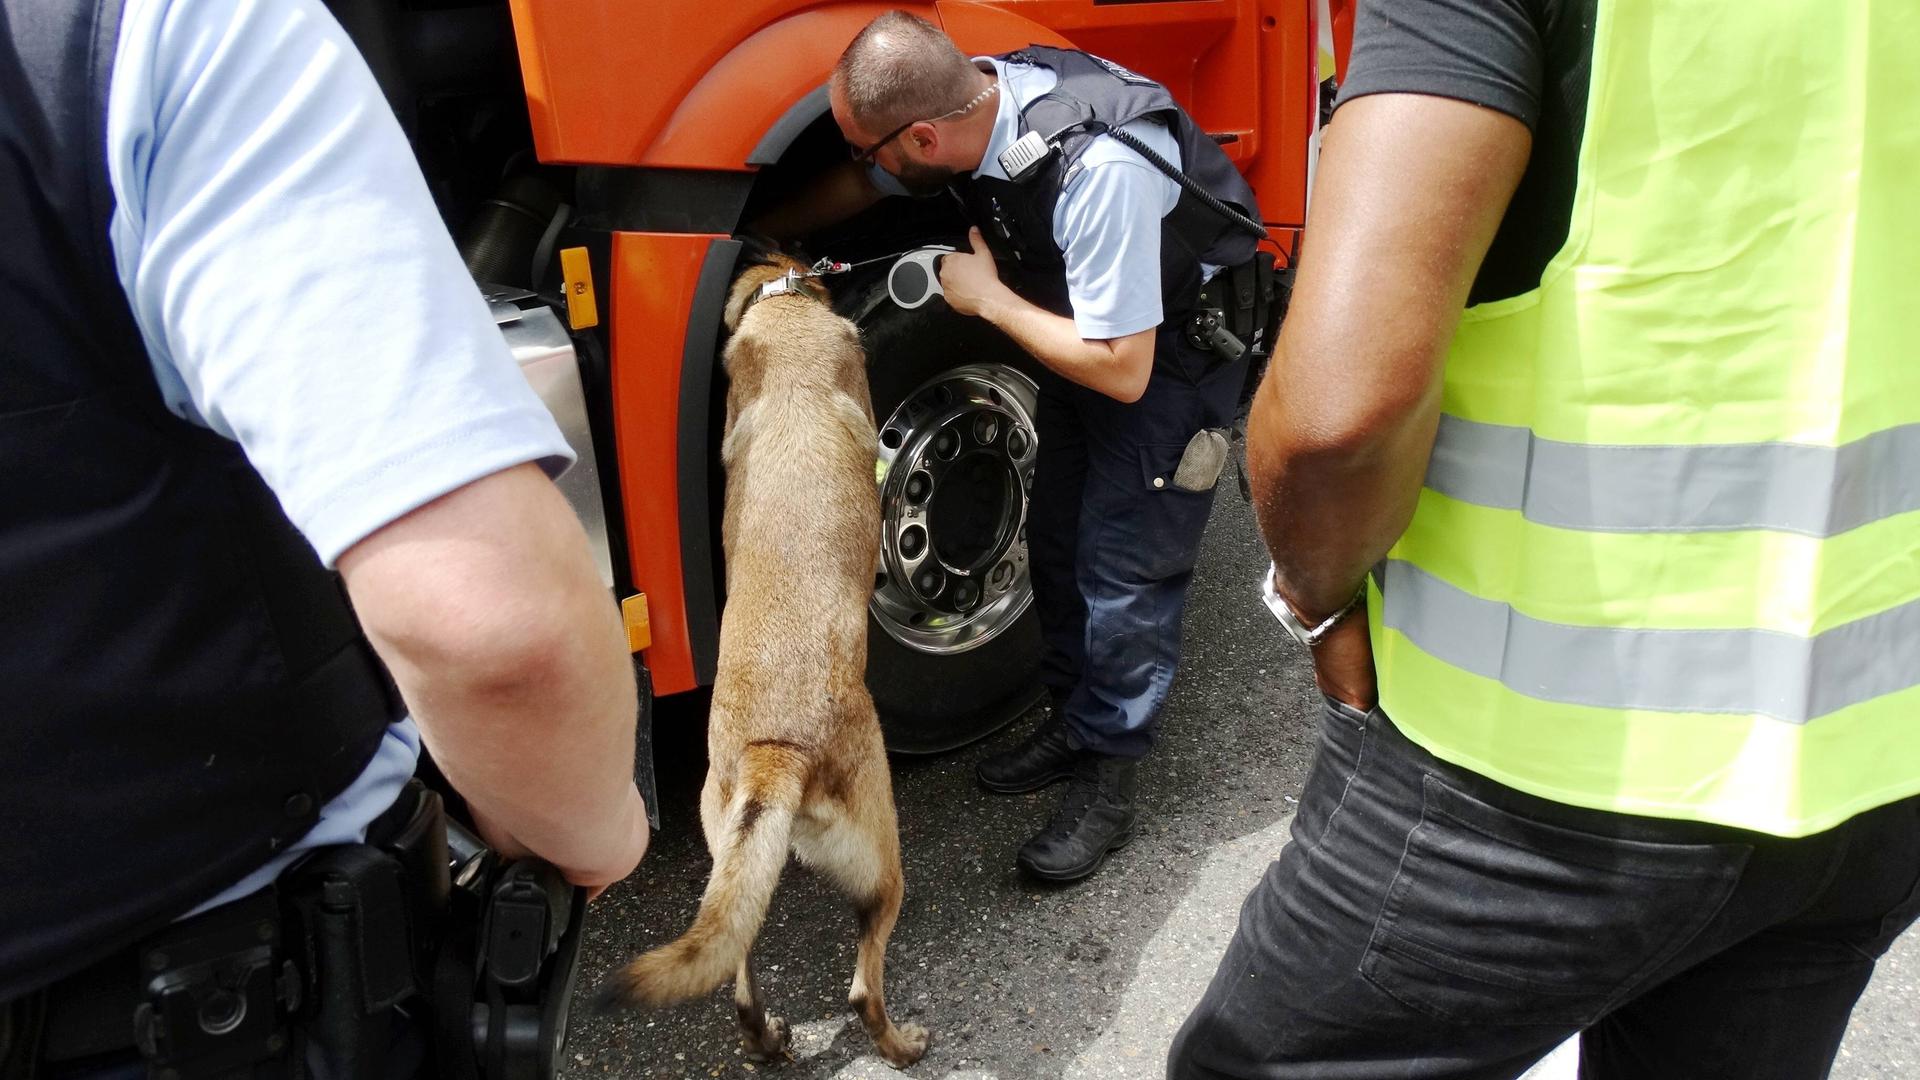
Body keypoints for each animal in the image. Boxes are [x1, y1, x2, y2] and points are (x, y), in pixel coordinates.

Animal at [595, 247, 933, 1060]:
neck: (784, 313)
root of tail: (777, 754)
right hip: (884, 866)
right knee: (861, 988)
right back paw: (901, 1044)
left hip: (731, 865)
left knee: (736, 966)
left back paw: (768, 1039)